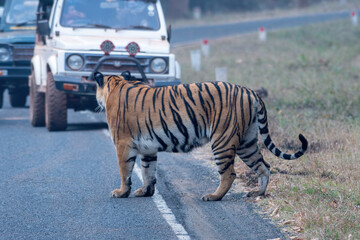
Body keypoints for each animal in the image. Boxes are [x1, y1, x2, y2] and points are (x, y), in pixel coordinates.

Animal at [93, 71, 306, 201]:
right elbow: (148, 171)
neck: (116, 84)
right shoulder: (148, 147)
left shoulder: (123, 144)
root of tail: (250, 91)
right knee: (264, 166)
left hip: (222, 140)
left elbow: (125, 171)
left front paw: (121, 192)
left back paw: (213, 196)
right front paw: (145, 191)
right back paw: (257, 193)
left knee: (229, 173)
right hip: (247, 142)